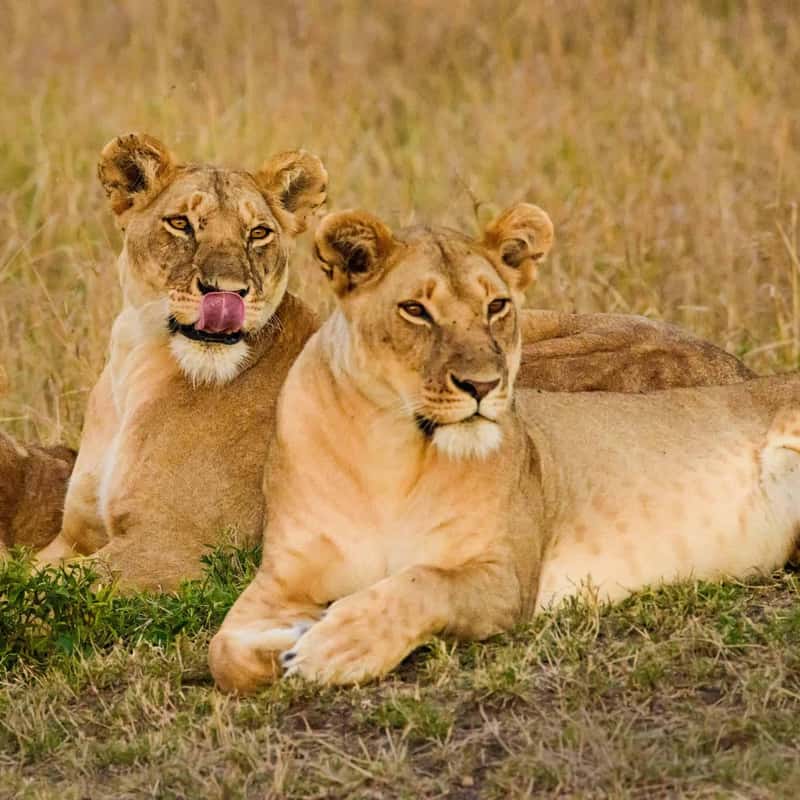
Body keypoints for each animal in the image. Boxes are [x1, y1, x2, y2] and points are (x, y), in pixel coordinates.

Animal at [35, 134, 327, 589]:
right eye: (181, 224)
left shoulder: (178, 551)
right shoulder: (72, 537)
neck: (134, 360)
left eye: (258, 233)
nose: (226, 292)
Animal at [208, 204, 800, 691]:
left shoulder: (506, 578)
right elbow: (223, 650)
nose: (483, 384)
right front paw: (294, 639)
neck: (389, 446)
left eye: (496, 305)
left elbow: (423, 583)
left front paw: (337, 644)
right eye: (414, 310)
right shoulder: (282, 576)